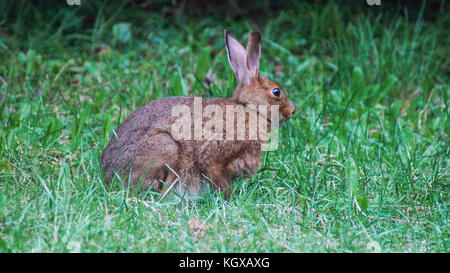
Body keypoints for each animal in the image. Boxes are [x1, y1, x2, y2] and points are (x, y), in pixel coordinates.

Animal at [101, 30, 296, 198]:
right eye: (276, 92)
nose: (292, 110)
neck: (249, 108)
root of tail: (109, 176)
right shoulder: (216, 158)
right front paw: (229, 199)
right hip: (167, 148)